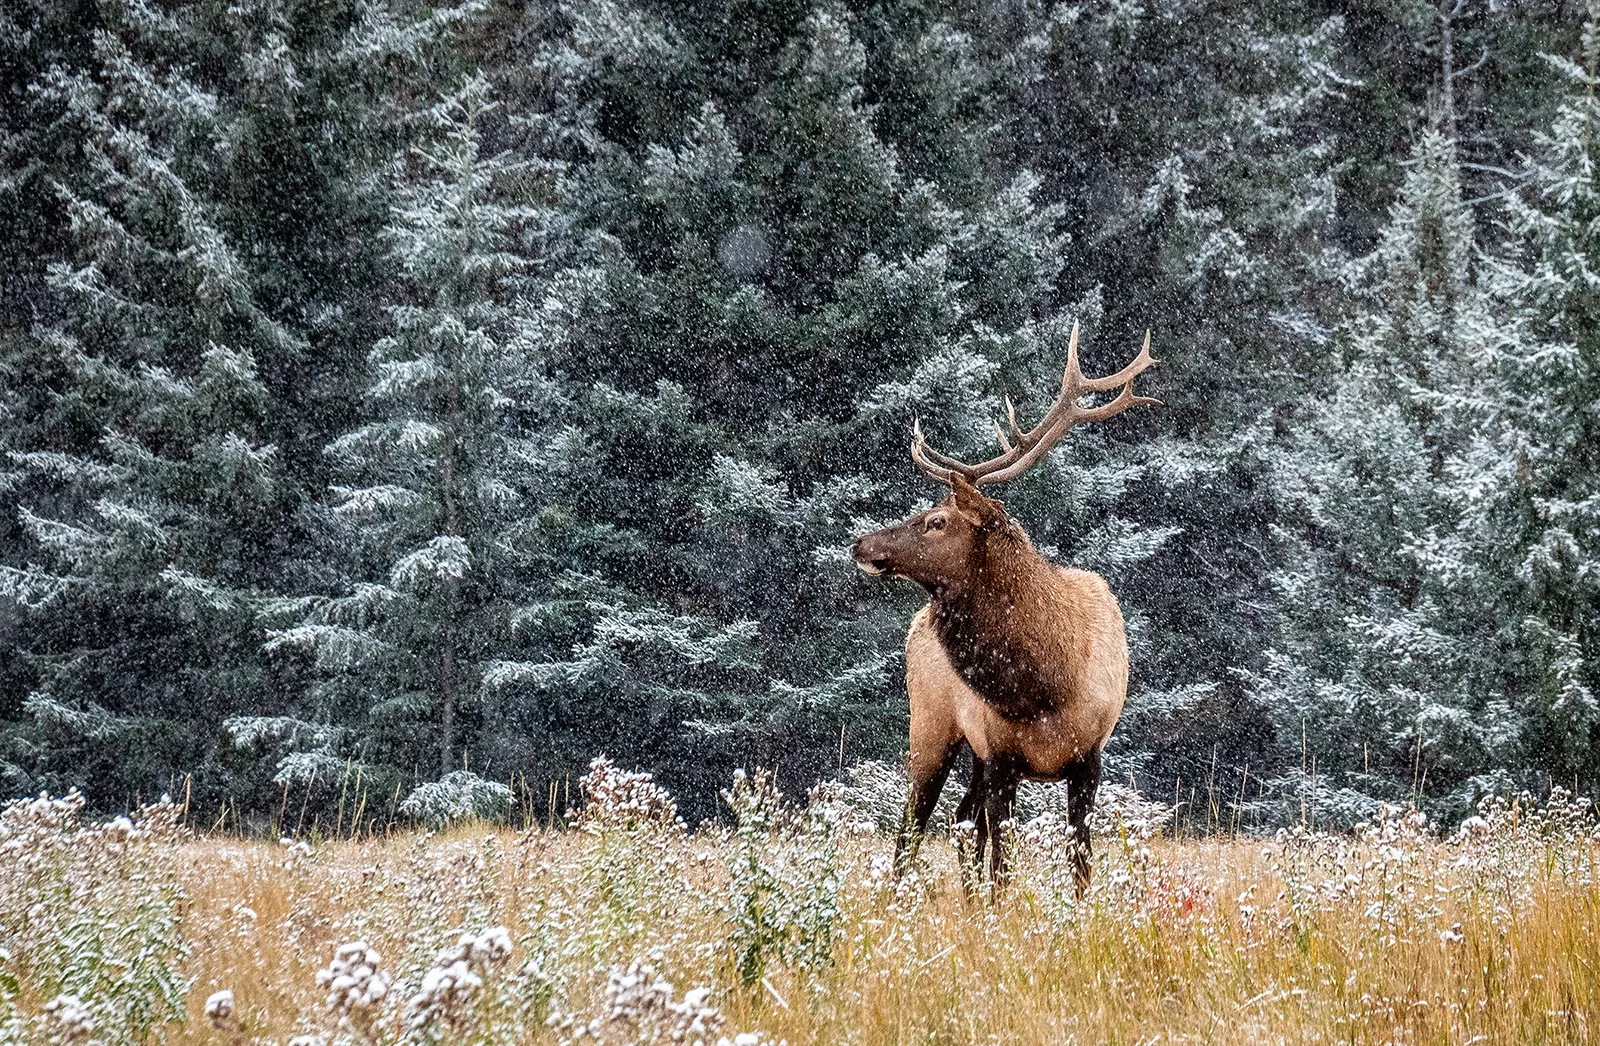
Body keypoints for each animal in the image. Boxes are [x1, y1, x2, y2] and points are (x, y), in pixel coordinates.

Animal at [857, 323, 1158, 895]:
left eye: (937, 521)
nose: (861, 543)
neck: (1047, 687)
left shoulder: (1090, 757)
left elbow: (1080, 862)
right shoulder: (1000, 755)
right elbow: (1002, 863)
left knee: (957, 819)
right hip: (930, 724)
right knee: (914, 826)